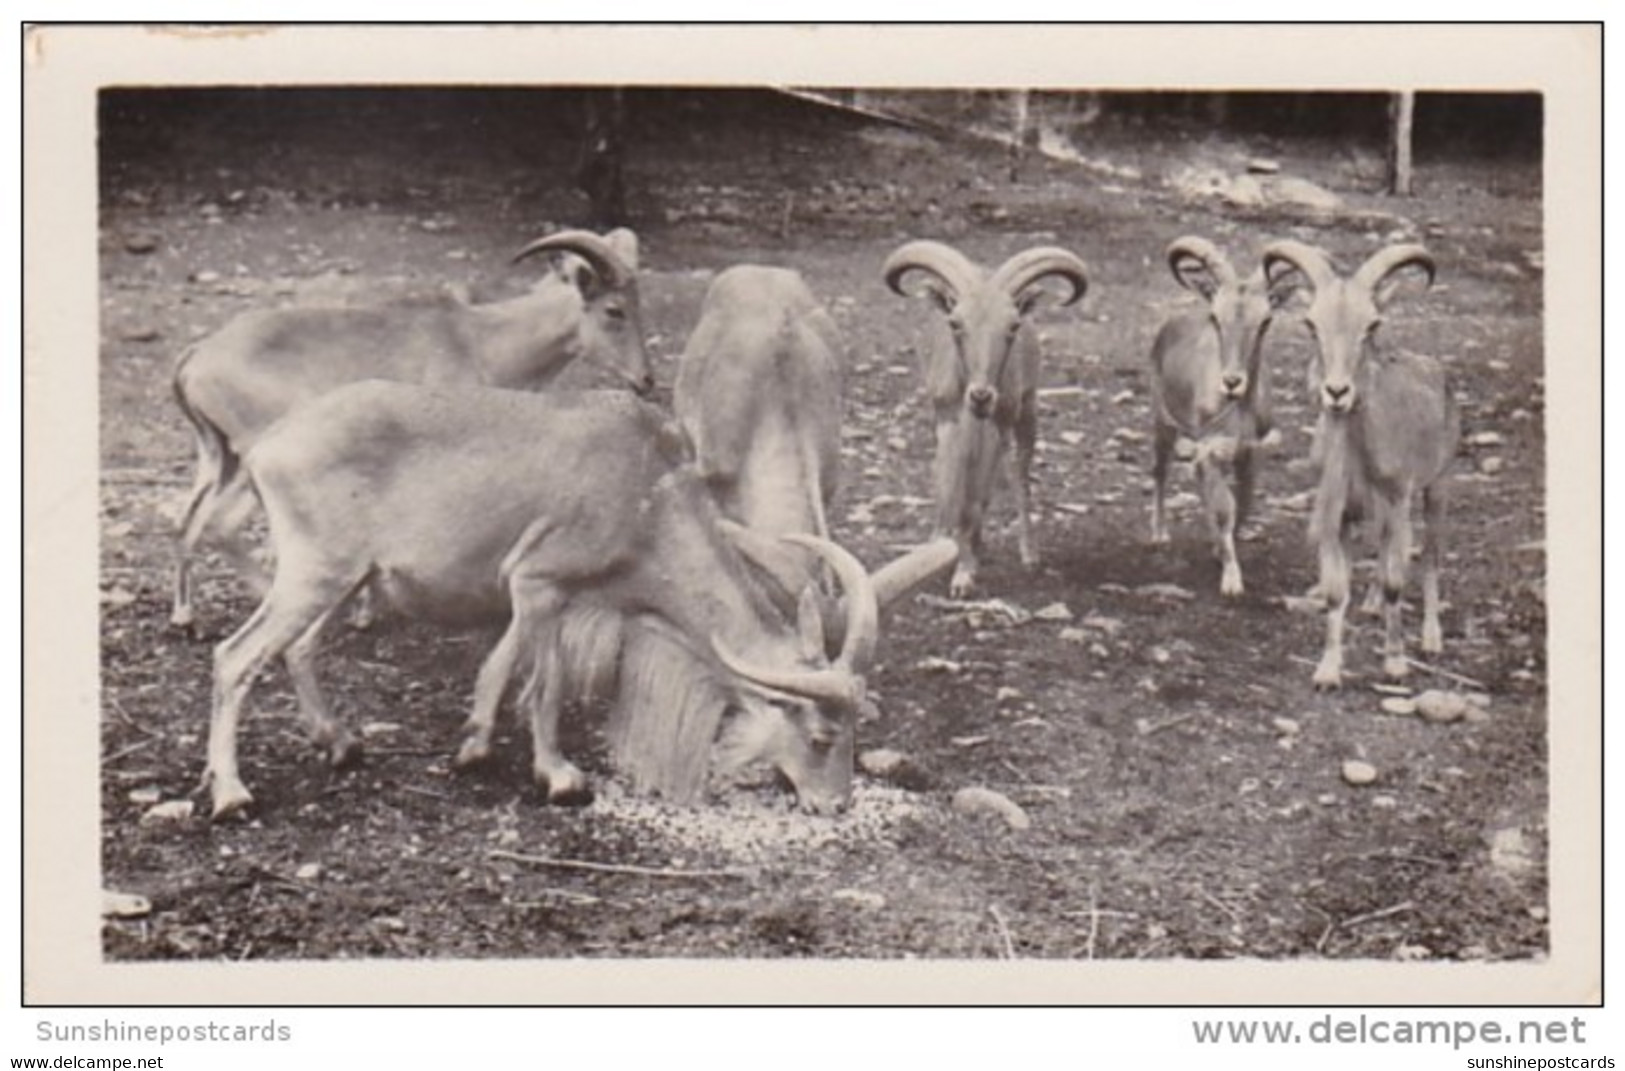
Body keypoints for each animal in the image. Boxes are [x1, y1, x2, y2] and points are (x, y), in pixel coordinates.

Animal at [208, 385, 955, 822]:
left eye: (856, 732)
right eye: (821, 735)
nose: (834, 805)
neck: (645, 496)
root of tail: (268, 446)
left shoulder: (537, 595)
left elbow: (504, 665)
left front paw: (473, 745)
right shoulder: (542, 583)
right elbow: (547, 684)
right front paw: (560, 776)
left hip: (340, 578)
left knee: (299, 647)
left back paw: (338, 742)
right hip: (314, 571)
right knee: (235, 656)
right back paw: (230, 794)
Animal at [877, 237, 1092, 598]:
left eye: (1012, 326)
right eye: (955, 323)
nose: (981, 396)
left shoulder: (997, 424)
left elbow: (979, 495)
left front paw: (965, 572)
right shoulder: (947, 419)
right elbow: (947, 483)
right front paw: (938, 546)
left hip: (1026, 409)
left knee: (1018, 474)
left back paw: (1027, 552)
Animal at [1150, 234, 1287, 594]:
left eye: (1266, 321)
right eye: (1215, 317)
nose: (1232, 382)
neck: (1239, 411)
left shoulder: (1248, 455)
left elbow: (1242, 505)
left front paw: (1220, 551)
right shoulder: (1213, 448)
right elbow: (1225, 508)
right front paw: (1232, 580)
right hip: (1162, 421)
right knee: (1160, 471)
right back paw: (1159, 533)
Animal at [1254, 238, 1462, 692]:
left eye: (1372, 325)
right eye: (1310, 324)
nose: (1337, 392)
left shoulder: (1398, 500)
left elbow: (1396, 581)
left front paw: (1396, 663)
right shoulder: (1341, 512)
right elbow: (1337, 589)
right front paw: (1327, 671)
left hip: (1438, 485)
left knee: (1431, 558)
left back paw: (1431, 638)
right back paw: (1370, 605)